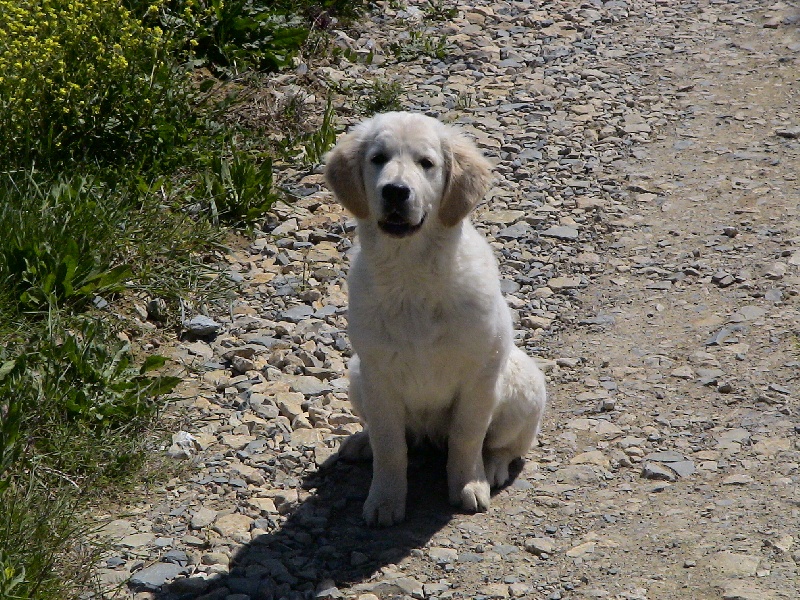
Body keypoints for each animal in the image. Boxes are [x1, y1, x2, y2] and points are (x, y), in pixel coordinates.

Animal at [324, 112, 544, 524]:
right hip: (356, 375)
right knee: (390, 435)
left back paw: (491, 468)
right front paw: (385, 500)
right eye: (378, 158)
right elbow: (390, 446)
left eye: (426, 163)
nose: (395, 191)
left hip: (524, 386)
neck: (411, 274)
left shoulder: (478, 376)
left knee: (504, 446)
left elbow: (467, 437)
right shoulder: (378, 377)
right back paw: (362, 443)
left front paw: (468, 484)